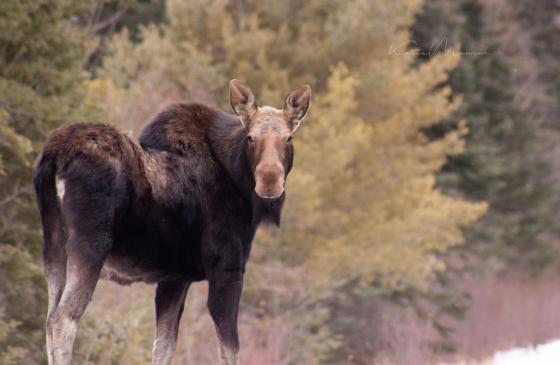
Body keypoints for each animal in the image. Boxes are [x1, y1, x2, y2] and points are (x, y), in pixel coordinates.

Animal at [31, 80, 310, 364]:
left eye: (289, 138)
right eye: (250, 137)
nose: (269, 181)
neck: (239, 183)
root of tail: (54, 155)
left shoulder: (174, 278)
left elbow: (163, 348)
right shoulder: (227, 268)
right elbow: (229, 349)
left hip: (53, 246)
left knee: (49, 317)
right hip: (91, 245)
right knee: (63, 318)